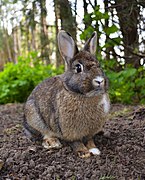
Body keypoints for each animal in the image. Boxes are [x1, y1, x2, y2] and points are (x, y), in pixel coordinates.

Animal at [23, 30, 110, 158]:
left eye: (99, 65)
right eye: (78, 68)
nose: (99, 80)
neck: (84, 95)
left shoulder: (90, 132)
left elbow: (89, 140)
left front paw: (94, 149)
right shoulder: (70, 131)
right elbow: (76, 142)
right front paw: (84, 153)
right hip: (35, 118)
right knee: (44, 134)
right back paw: (53, 143)